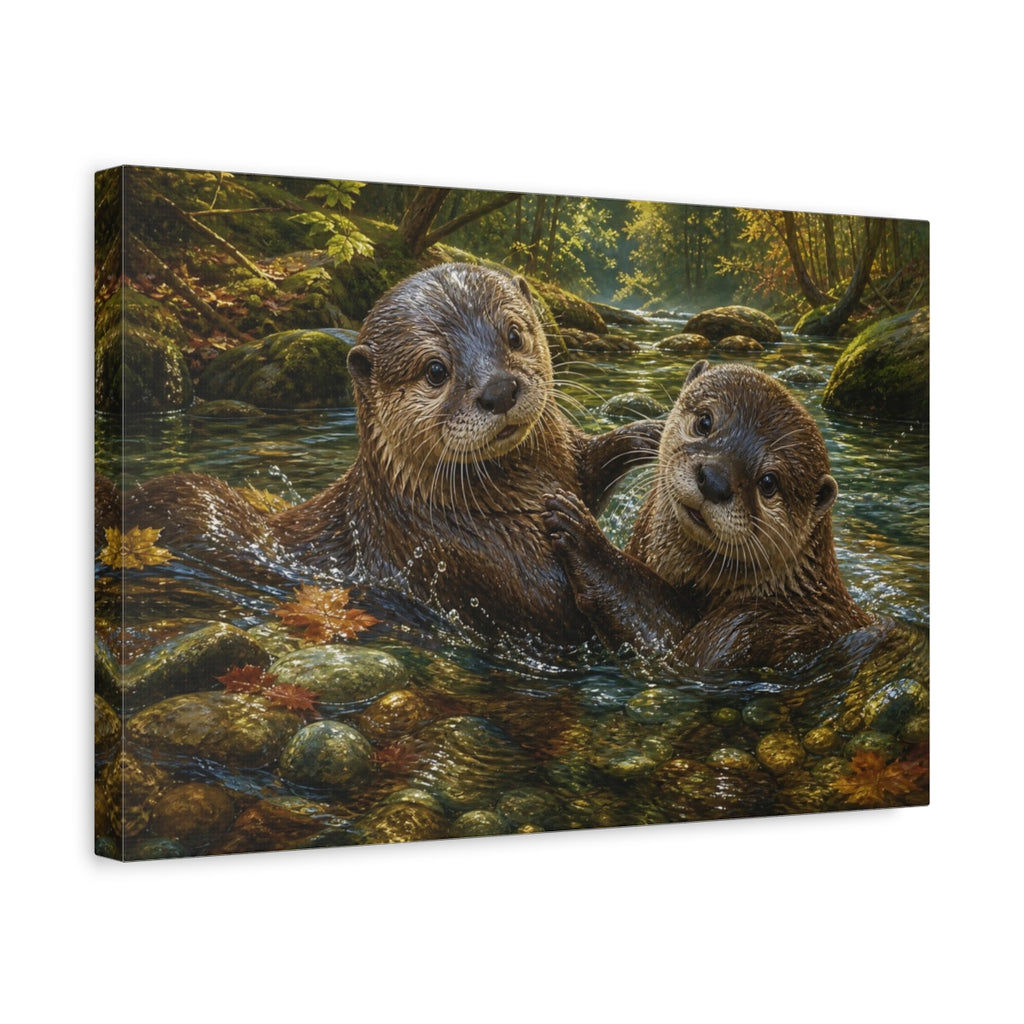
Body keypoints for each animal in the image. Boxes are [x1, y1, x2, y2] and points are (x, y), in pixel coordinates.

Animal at [121, 263, 662, 648]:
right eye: (436, 370)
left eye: (514, 334)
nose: (500, 390)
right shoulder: (481, 566)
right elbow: (570, 610)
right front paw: (582, 537)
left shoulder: (566, 458)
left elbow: (593, 462)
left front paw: (652, 433)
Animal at [542, 360, 878, 673]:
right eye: (705, 422)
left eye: (769, 482)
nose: (715, 480)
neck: (784, 591)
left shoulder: (745, 630)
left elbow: (673, 645)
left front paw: (585, 539)